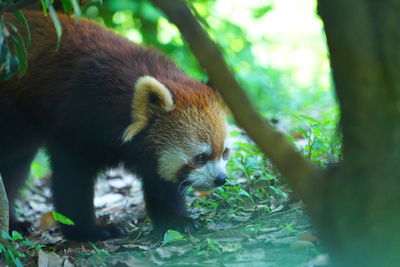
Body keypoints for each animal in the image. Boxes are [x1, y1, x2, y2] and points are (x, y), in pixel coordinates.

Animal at [0, 11, 230, 243]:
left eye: (224, 153)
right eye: (200, 157)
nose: (221, 179)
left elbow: (162, 182)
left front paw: (176, 221)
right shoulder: (75, 120)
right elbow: (72, 180)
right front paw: (88, 231)